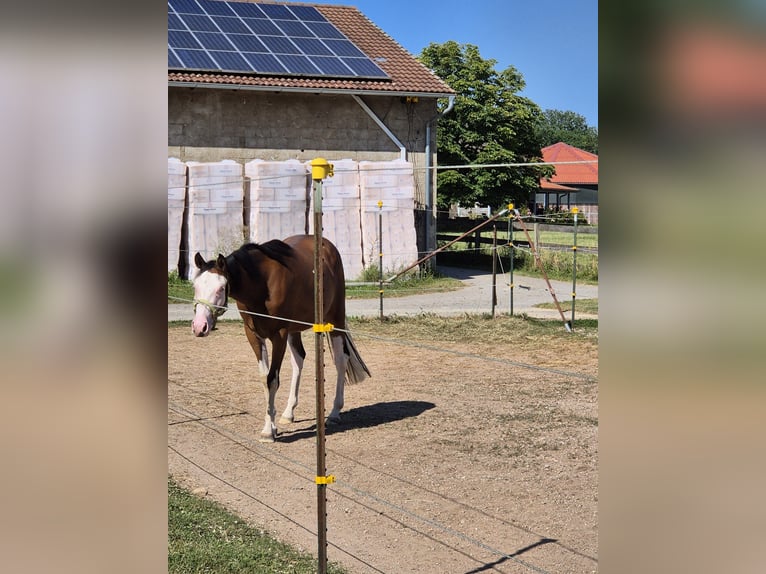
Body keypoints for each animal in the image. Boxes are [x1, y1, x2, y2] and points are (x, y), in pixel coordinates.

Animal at [192, 236, 372, 444]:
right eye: (195, 286)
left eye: (221, 288)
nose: (199, 326)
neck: (261, 284)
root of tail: (328, 247)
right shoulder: (254, 335)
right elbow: (265, 378)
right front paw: (272, 425)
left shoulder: (279, 335)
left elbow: (272, 379)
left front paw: (268, 432)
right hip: (295, 330)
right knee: (299, 359)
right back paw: (288, 413)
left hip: (334, 318)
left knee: (340, 360)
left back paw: (334, 413)